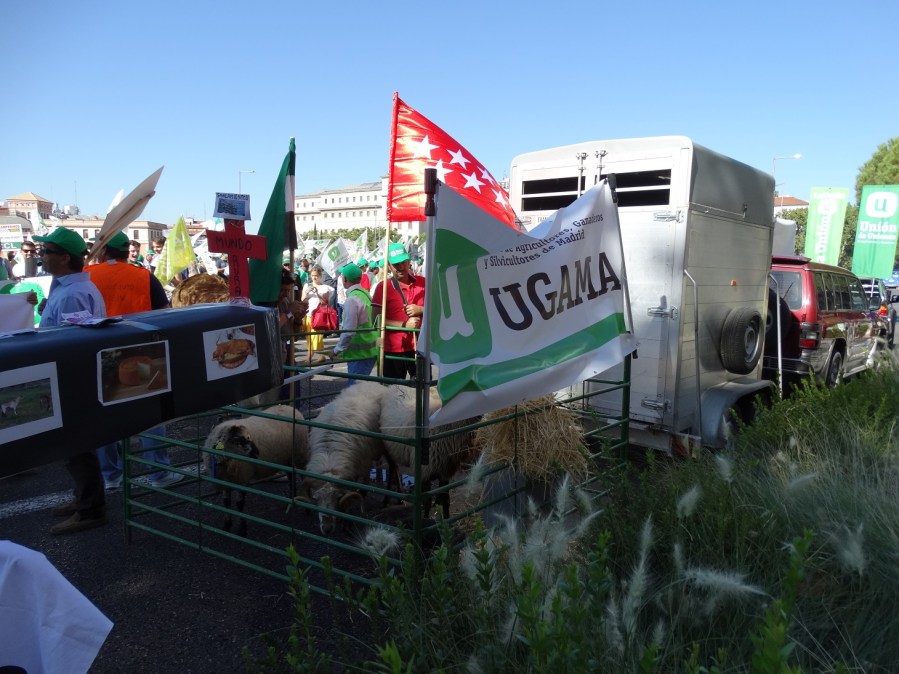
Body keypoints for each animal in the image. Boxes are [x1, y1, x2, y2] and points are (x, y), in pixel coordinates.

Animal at [203, 404, 309, 536]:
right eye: (238, 440)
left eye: (249, 437)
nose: (257, 453)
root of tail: (290, 407)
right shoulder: (224, 482)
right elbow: (226, 502)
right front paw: (227, 525)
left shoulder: (243, 478)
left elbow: (240, 503)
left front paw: (242, 528)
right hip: (287, 458)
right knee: (291, 475)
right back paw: (290, 499)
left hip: (300, 453)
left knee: (304, 476)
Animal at [305, 381, 388, 534]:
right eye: (316, 498)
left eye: (337, 497)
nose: (327, 528)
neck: (329, 455)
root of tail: (371, 382)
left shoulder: (359, 467)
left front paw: (346, 521)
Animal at [379, 385, 479, 519]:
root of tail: (394, 386)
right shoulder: (426, 468)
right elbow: (427, 501)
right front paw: (426, 518)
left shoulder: (445, 469)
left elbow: (446, 499)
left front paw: (447, 519)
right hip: (387, 448)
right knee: (393, 468)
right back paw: (388, 498)